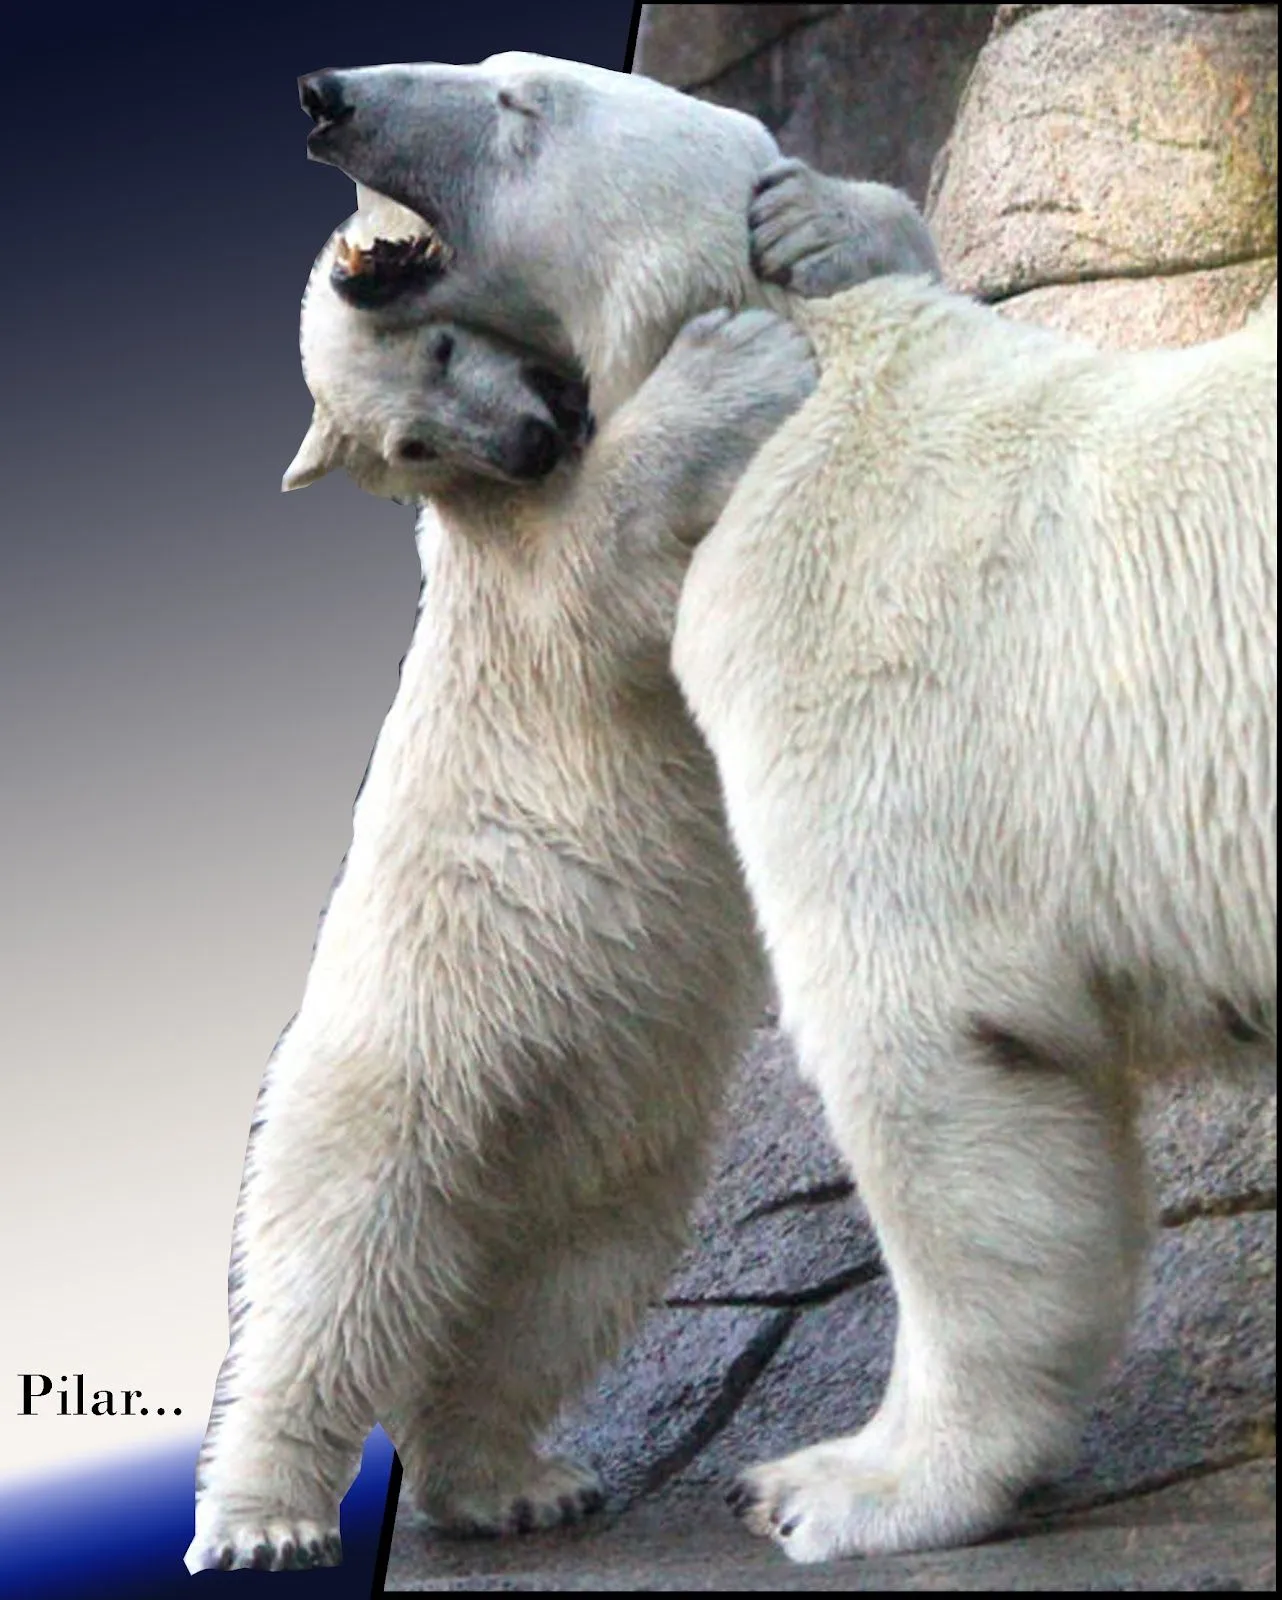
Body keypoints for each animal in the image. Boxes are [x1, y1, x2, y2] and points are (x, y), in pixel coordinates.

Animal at [298, 51, 1276, 1565]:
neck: (831, 368)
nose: (331, 93)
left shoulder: (858, 630)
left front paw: (839, 1485)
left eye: (518, 101)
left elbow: (937, 1051)